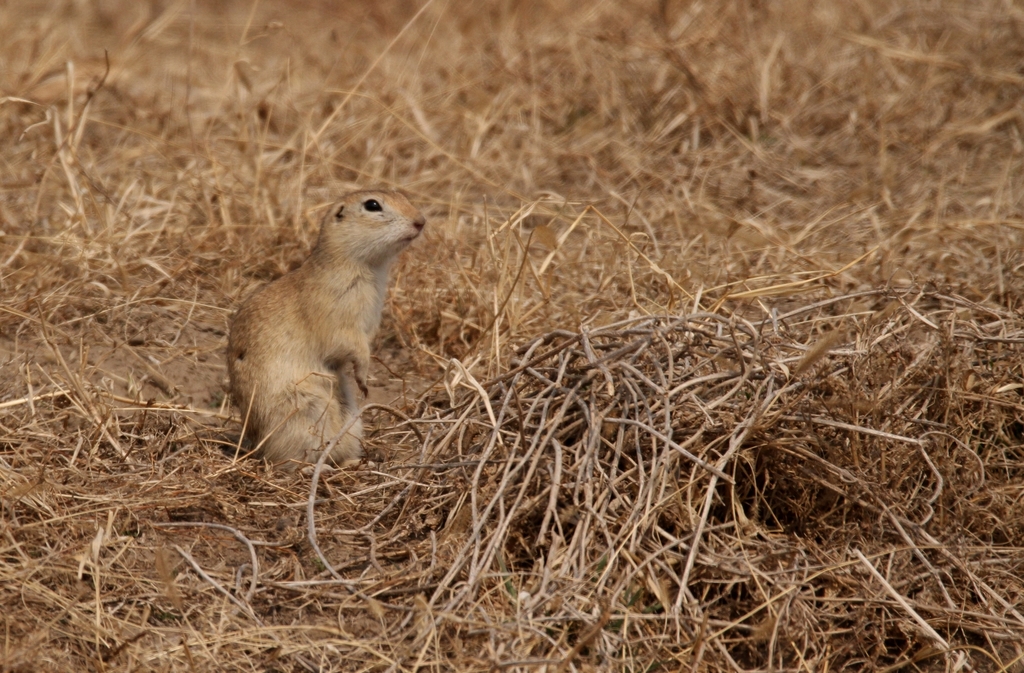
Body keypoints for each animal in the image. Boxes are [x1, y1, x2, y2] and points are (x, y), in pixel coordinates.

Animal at [227, 189, 425, 469]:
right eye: (372, 205)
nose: (421, 221)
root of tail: (255, 446)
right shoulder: (337, 319)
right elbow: (351, 345)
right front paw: (364, 380)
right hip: (305, 412)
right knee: (286, 460)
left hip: (350, 419)